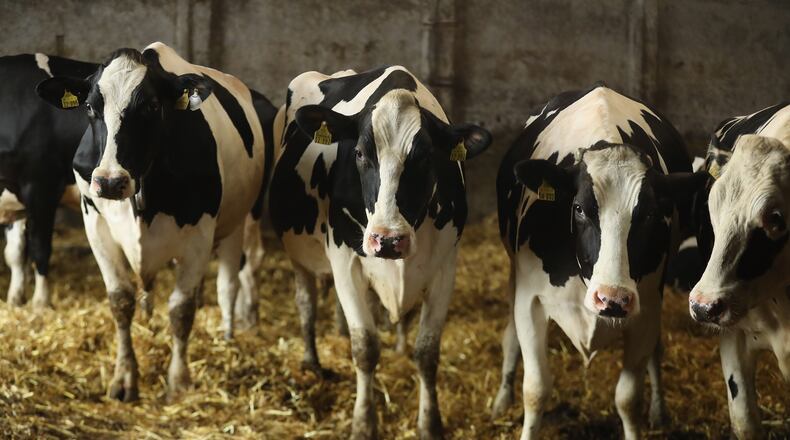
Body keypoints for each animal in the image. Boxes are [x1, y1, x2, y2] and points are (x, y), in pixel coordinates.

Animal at [0, 53, 97, 308]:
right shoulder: (13, 194)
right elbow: (15, 253)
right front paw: (15, 299)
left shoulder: (41, 187)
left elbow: (40, 249)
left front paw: (41, 302)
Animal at [36, 42, 269, 401]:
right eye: (89, 106)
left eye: (152, 105)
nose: (110, 181)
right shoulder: (96, 227)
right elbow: (121, 300)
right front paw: (124, 378)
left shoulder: (199, 234)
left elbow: (181, 310)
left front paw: (179, 382)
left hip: (241, 219)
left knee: (229, 282)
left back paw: (229, 334)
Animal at [268, 66, 492, 439]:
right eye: (359, 153)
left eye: (425, 156)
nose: (387, 240)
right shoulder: (344, 261)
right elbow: (365, 348)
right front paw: (363, 423)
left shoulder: (445, 265)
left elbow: (427, 352)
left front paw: (430, 424)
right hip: (298, 254)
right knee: (306, 304)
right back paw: (312, 362)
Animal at [492, 84, 707, 440]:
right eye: (579, 208)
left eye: (649, 214)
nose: (612, 299)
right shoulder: (530, 300)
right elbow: (536, 390)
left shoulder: (647, 307)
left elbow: (628, 398)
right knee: (510, 335)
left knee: (656, 351)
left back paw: (659, 410)